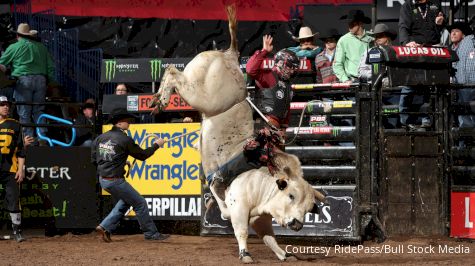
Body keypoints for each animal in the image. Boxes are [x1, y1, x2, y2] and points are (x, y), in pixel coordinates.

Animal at [152, 5, 328, 262]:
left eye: (309, 208)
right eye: (291, 196)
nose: (297, 225)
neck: (263, 180)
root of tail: (230, 55)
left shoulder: (261, 217)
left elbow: (269, 238)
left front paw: (284, 254)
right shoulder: (239, 206)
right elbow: (240, 228)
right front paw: (244, 253)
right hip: (205, 96)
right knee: (173, 71)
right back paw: (161, 99)